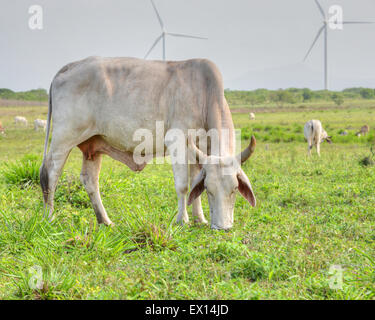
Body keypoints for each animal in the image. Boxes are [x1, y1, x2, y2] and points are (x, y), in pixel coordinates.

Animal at [40, 57, 258, 230]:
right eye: (210, 191)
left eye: (234, 189)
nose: (222, 227)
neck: (204, 93)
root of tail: (70, 66)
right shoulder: (177, 140)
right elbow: (183, 186)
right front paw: (183, 220)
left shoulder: (200, 149)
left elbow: (195, 183)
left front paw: (200, 219)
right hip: (63, 138)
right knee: (51, 173)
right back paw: (49, 218)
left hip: (92, 146)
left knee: (90, 180)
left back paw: (105, 221)